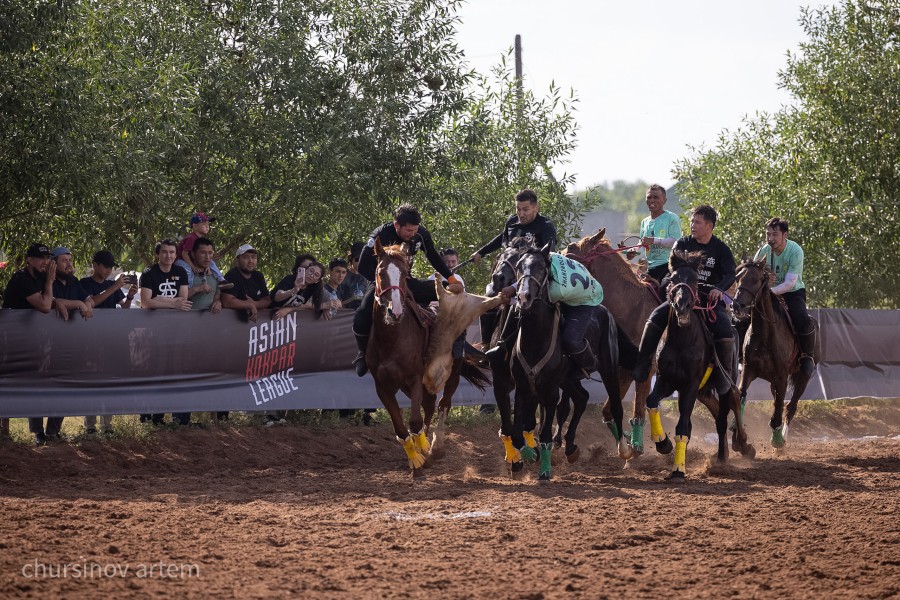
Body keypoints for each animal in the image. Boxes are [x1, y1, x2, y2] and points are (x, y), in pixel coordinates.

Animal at [568, 227, 720, 452]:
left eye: (571, 248)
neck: (632, 309)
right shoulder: (624, 369)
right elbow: (609, 410)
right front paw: (627, 445)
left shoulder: (645, 371)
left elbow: (639, 411)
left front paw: (640, 446)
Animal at [648, 250, 752, 482]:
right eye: (673, 278)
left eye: (696, 280)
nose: (682, 306)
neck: (682, 342)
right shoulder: (666, 381)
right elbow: (651, 402)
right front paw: (663, 443)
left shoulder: (690, 385)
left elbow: (683, 426)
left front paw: (678, 469)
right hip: (703, 391)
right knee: (716, 411)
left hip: (724, 382)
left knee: (725, 414)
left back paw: (730, 453)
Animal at [732, 255, 824, 448]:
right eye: (737, 278)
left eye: (756, 279)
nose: (737, 306)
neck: (766, 334)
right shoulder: (748, 370)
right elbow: (741, 395)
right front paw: (737, 434)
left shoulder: (781, 376)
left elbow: (779, 410)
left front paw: (777, 439)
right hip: (773, 381)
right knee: (778, 403)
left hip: (802, 376)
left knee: (790, 406)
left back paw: (783, 438)